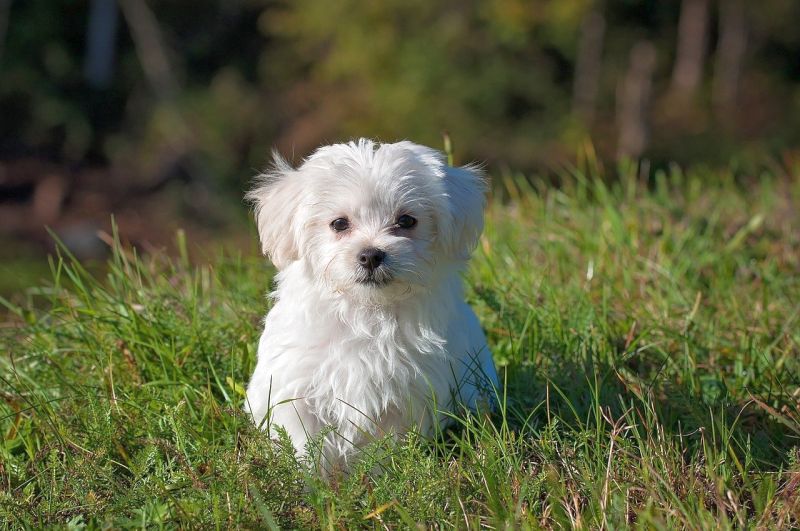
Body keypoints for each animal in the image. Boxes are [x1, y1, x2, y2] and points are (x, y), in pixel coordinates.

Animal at [245, 139, 494, 472]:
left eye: (406, 221)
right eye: (339, 224)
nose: (371, 254)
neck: (366, 311)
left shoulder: (407, 396)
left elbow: (386, 445)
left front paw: (380, 477)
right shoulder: (296, 388)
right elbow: (305, 441)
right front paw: (311, 480)